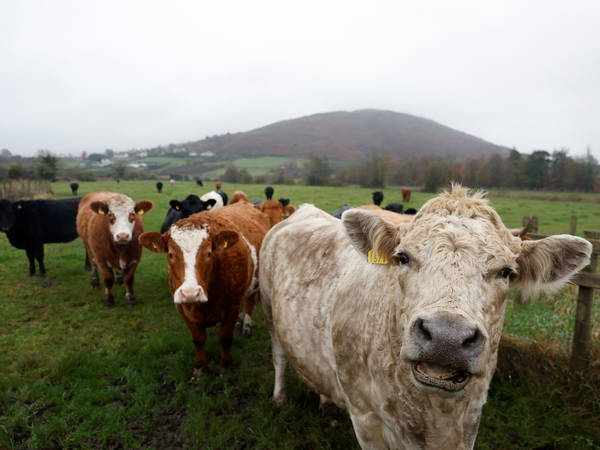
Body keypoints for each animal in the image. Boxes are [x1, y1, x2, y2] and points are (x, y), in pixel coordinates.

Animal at [138, 201, 270, 376]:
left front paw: (225, 365)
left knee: (249, 301)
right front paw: (200, 366)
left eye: (208, 253)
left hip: (255, 282)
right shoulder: (183, 309)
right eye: (171, 254)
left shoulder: (232, 305)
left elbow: (225, 337)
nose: (190, 293)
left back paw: (246, 326)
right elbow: (198, 339)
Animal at [258, 185, 592, 450]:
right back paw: (278, 398)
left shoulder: (469, 421)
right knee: (278, 356)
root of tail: (304, 211)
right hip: (270, 312)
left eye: (506, 272)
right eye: (403, 258)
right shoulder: (366, 419)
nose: (447, 337)